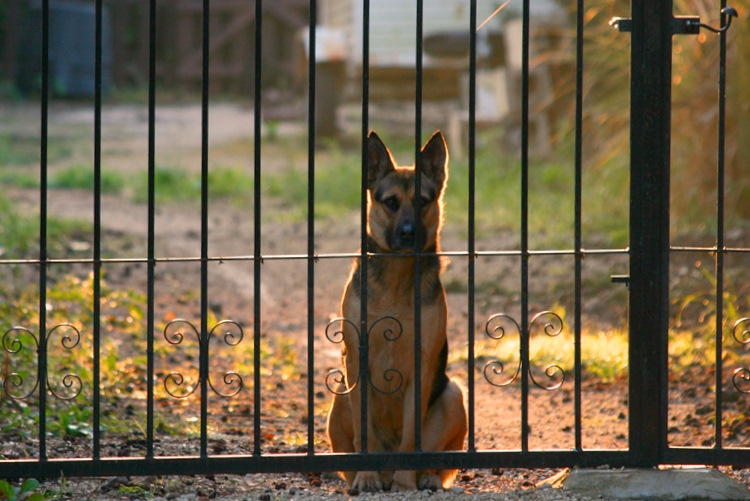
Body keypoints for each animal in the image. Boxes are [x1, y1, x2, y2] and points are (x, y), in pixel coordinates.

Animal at [330, 130, 470, 492]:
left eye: (422, 201)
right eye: (391, 202)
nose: (408, 234)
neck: (397, 275)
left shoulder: (422, 363)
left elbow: (411, 436)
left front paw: (406, 479)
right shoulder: (357, 359)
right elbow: (364, 433)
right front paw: (366, 476)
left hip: (453, 394)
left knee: (435, 456)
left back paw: (424, 477)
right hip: (341, 395)